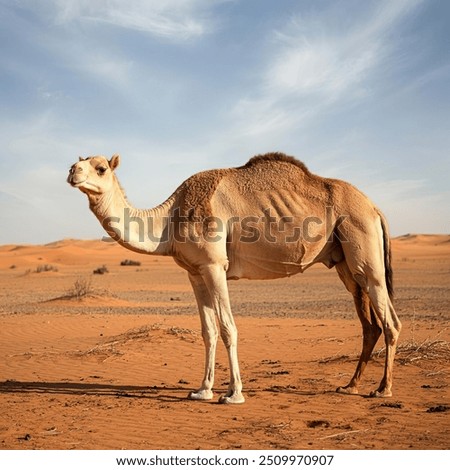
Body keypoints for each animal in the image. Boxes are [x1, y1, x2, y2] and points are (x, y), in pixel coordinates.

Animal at [67, 152, 400, 402]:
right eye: (80, 161)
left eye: (100, 168)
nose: (72, 171)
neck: (169, 218)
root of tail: (375, 207)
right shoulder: (195, 272)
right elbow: (208, 331)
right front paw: (202, 390)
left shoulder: (216, 265)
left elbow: (228, 328)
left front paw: (233, 394)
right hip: (344, 262)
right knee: (369, 323)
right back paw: (350, 386)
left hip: (363, 247)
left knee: (389, 320)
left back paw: (382, 389)